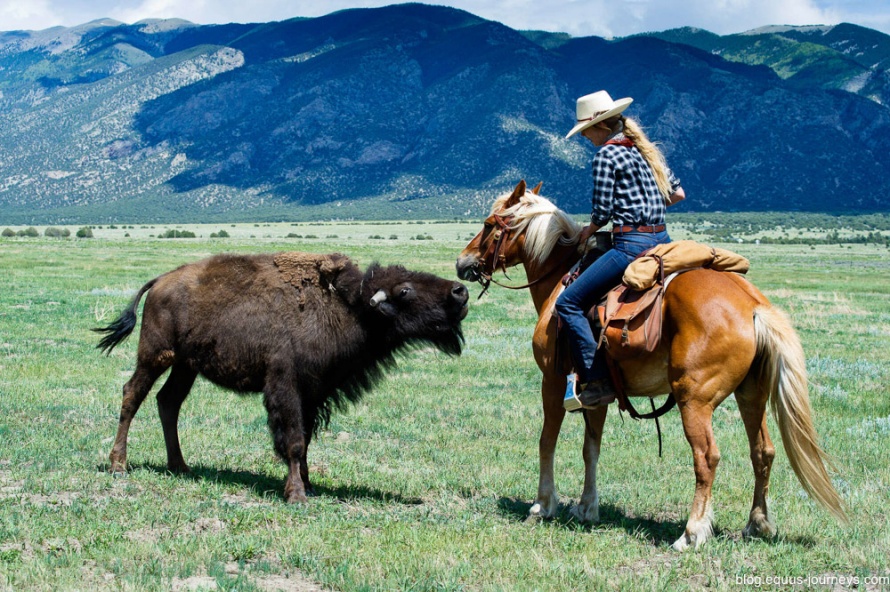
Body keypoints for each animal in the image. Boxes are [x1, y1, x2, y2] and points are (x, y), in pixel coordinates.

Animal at [95, 252, 472, 502]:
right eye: (405, 290)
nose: (460, 291)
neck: (350, 308)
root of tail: (161, 280)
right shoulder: (285, 387)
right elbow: (292, 441)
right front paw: (296, 495)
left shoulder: (313, 393)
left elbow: (305, 439)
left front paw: (309, 485)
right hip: (155, 356)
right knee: (132, 395)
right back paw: (118, 465)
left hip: (185, 366)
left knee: (168, 402)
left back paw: (180, 466)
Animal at [454, 180, 844, 552]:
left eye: (488, 225)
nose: (462, 263)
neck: (561, 277)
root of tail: (752, 304)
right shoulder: (595, 392)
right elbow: (590, 448)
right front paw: (587, 507)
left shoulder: (552, 380)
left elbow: (546, 441)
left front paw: (542, 505)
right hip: (751, 395)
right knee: (762, 452)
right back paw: (756, 524)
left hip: (694, 400)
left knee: (707, 458)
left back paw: (691, 533)